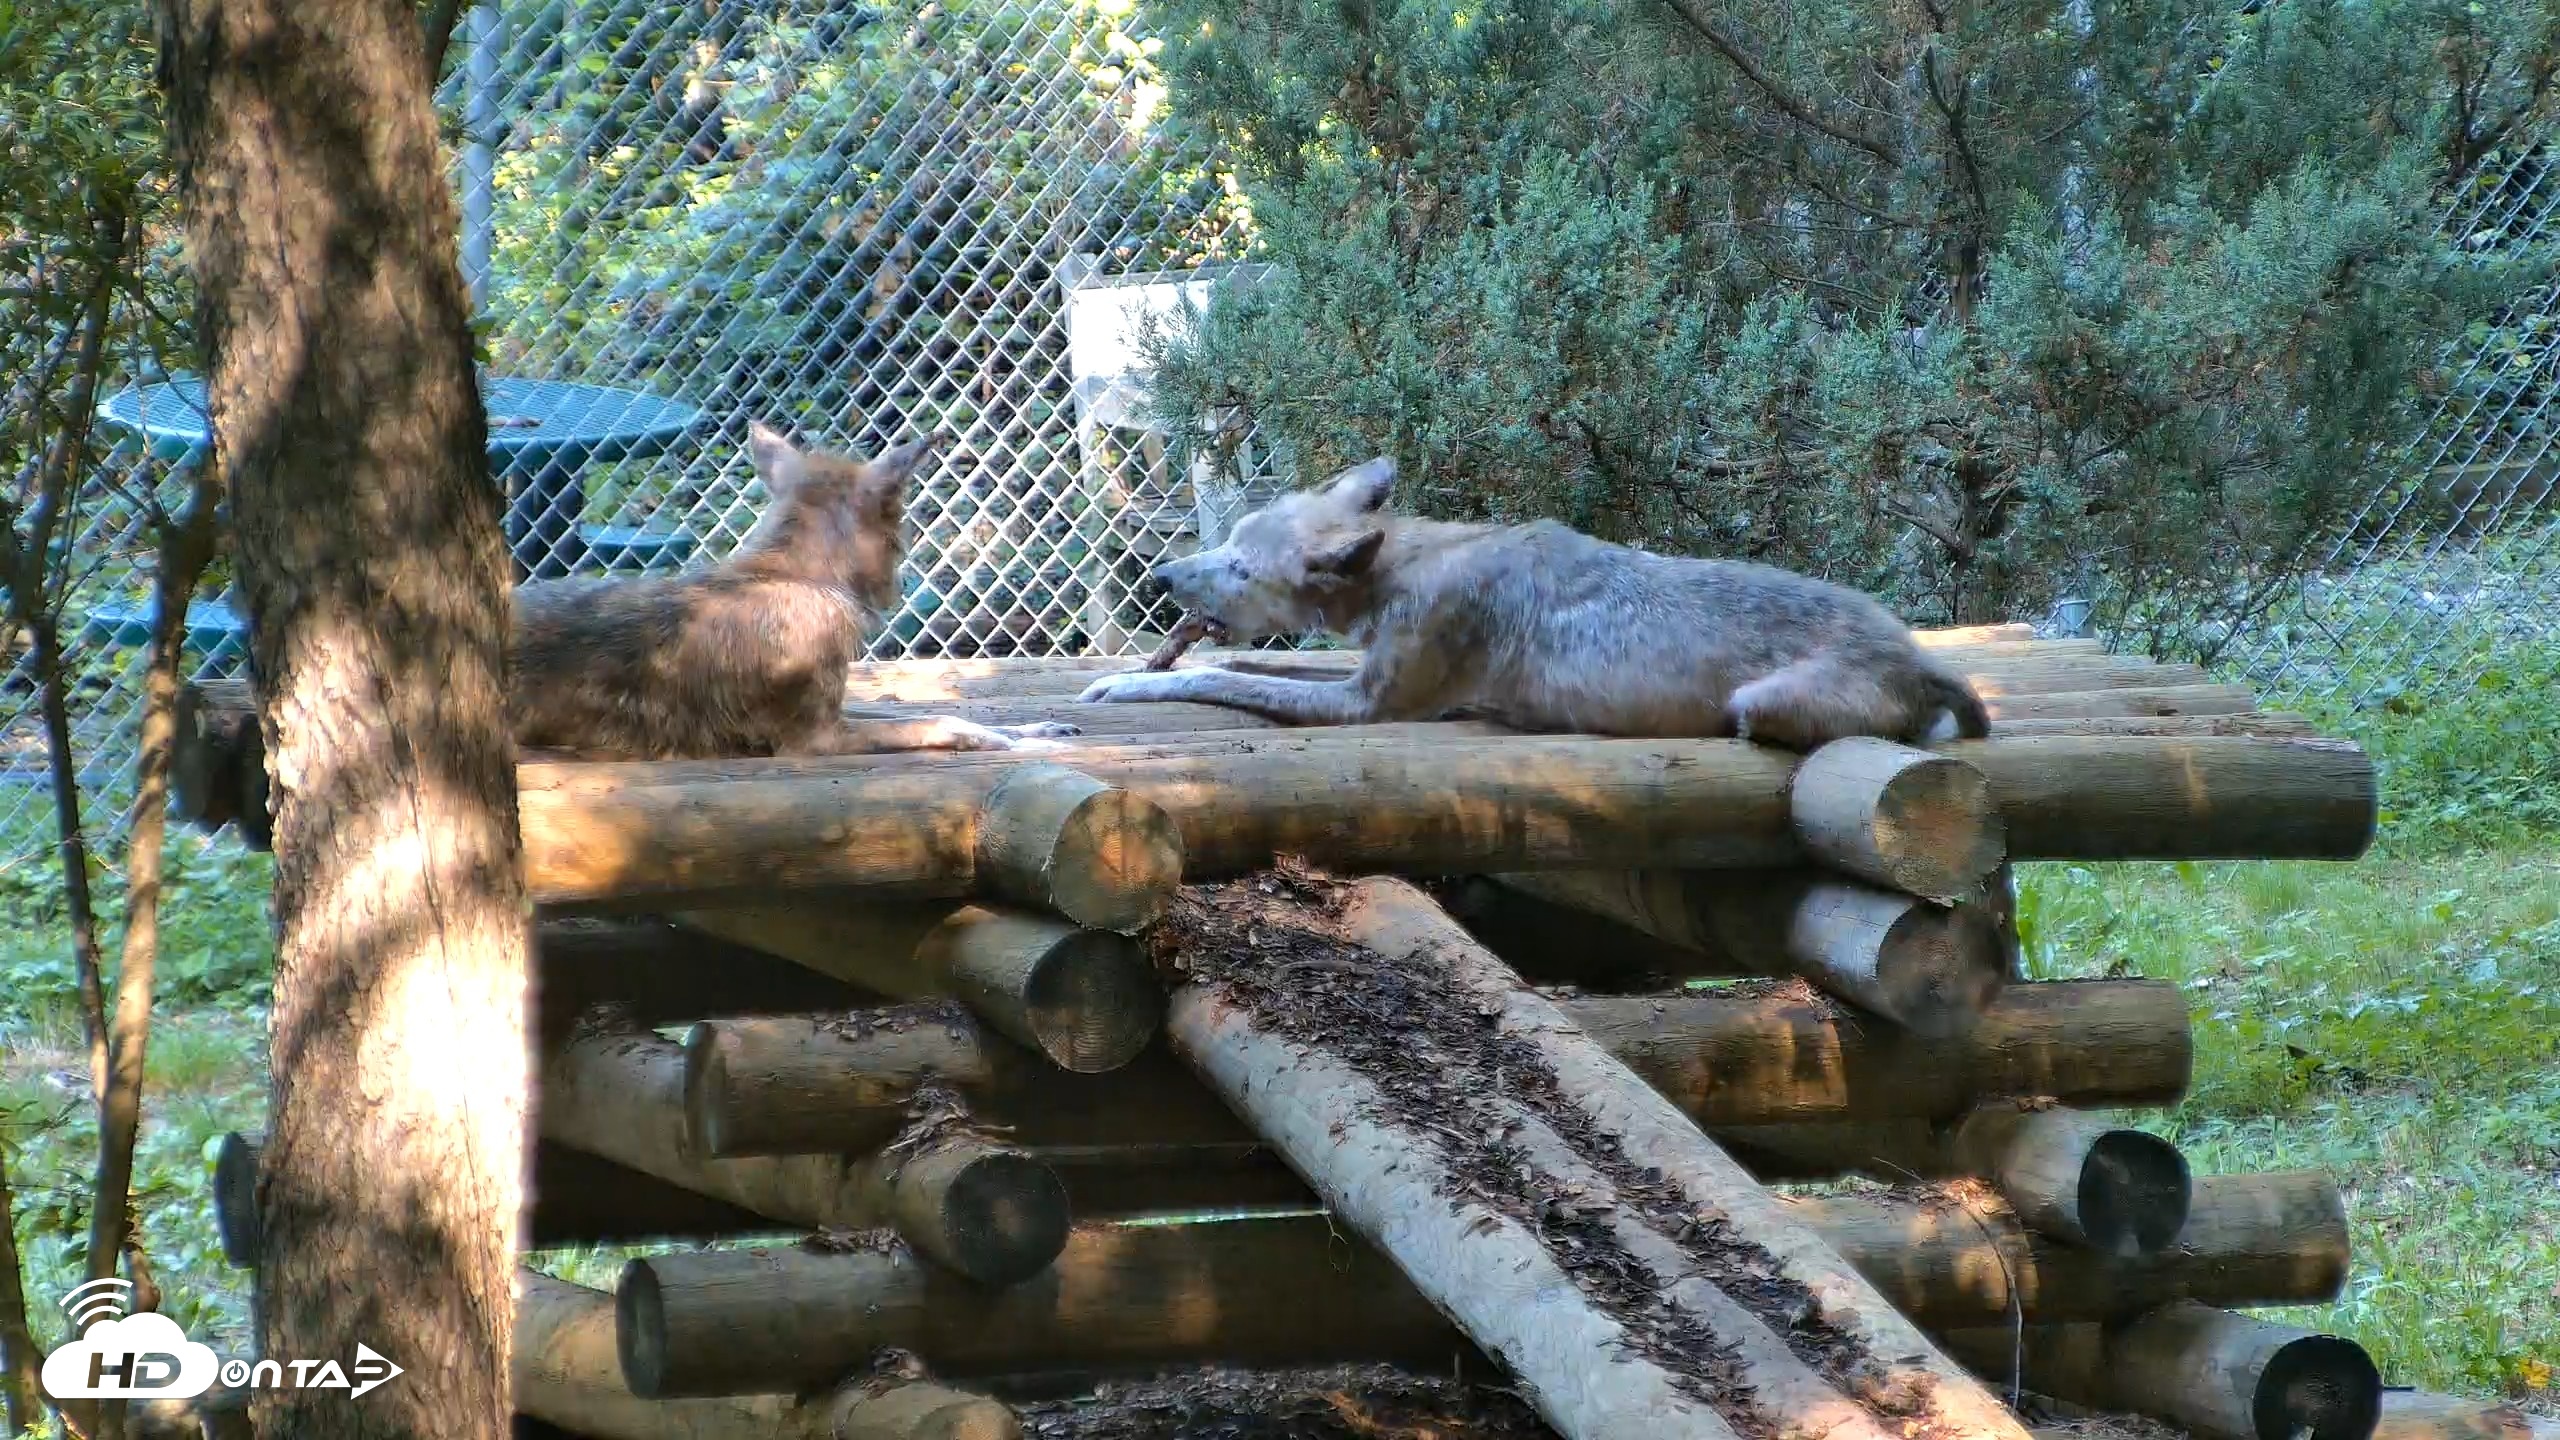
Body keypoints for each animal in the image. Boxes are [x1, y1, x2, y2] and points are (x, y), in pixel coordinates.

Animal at [510, 424, 1079, 760]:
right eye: (900, 535)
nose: (897, 589)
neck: (803, 577)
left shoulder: (837, 710)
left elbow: (914, 712)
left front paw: (1038, 731)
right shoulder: (815, 738)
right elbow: (935, 718)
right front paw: (1002, 739)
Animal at [1074, 457, 1988, 749]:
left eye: (1237, 567)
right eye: (1222, 544)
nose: (1159, 578)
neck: (1412, 563)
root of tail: (1919, 661)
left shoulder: (1368, 706)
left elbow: (1216, 675)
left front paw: (1127, 683)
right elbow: (1231, 661)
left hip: (1758, 705)